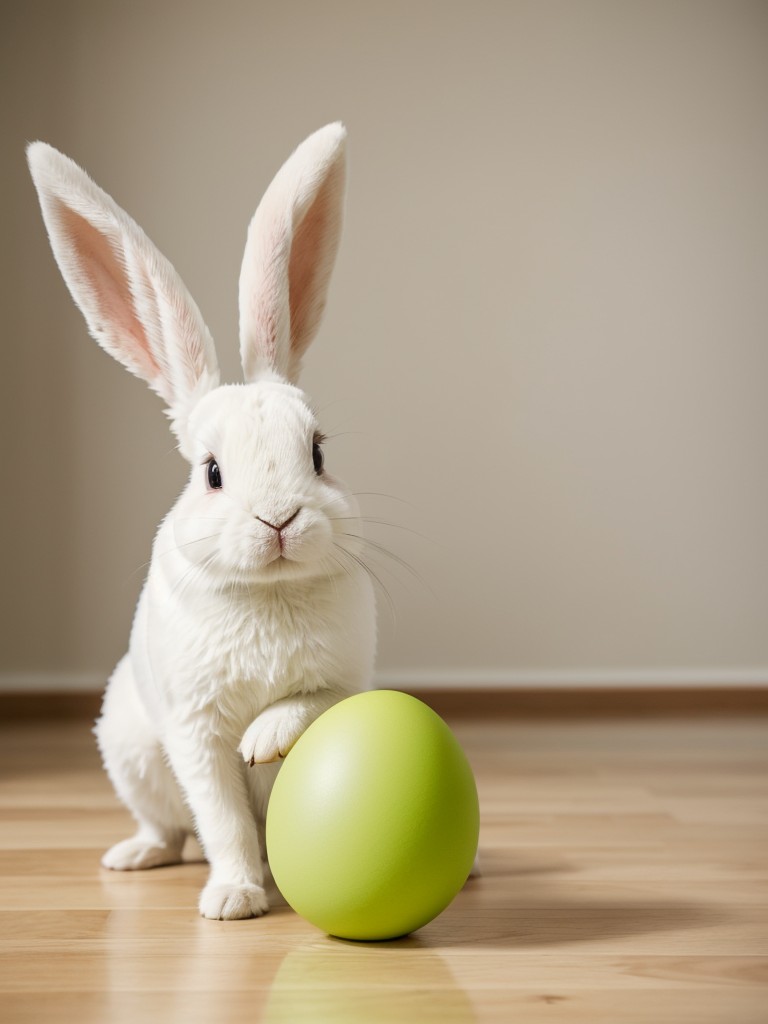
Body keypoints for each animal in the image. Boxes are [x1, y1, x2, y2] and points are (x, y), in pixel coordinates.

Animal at [28, 125, 376, 921]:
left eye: (318, 453)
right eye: (211, 471)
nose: (279, 518)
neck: (269, 591)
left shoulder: (345, 685)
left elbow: (302, 708)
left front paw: (264, 741)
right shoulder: (194, 732)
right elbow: (222, 818)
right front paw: (235, 899)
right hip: (130, 754)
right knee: (171, 828)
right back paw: (134, 858)